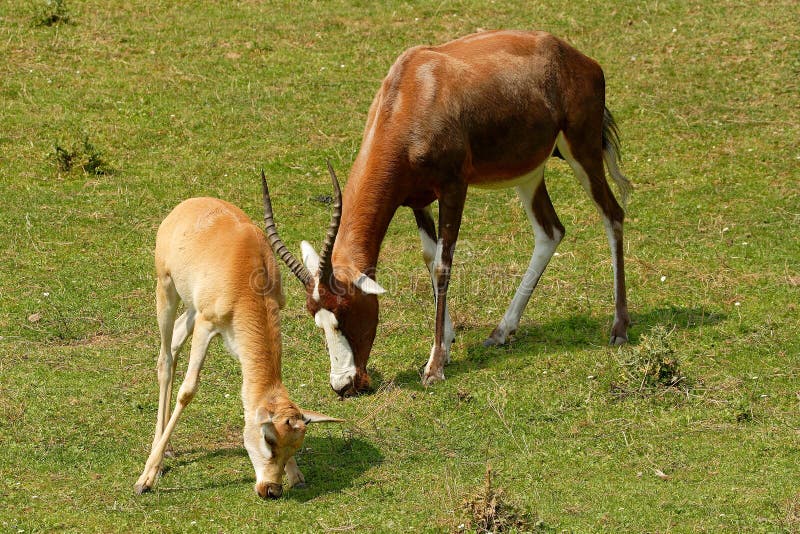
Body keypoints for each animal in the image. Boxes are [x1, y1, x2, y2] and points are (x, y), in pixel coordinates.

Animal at [134, 188, 340, 502]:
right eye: (268, 438)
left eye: (296, 444)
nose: (271, 489)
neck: (248, 274)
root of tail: (190, 204)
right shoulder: (207, 326)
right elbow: (187, 391)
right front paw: (145, 478)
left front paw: (296, 475)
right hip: (166, 291)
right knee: (165, 360)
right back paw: (158, 457)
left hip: (191, 309)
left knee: (177, 338)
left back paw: (167, 449)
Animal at [262, 30, 632, 398]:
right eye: (316, 317)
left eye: (347, 310)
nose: (344, 386)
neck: (414, 89)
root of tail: (577, 58)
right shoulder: (417, 199)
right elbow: (429, 257)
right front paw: (448, 345)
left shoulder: (454, 187)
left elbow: (443, 264)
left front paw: (434, 367)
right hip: (530, 171)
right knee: (550, 231)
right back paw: (501, 332)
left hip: (582, 151)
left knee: (612, 213)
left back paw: (619, 328)